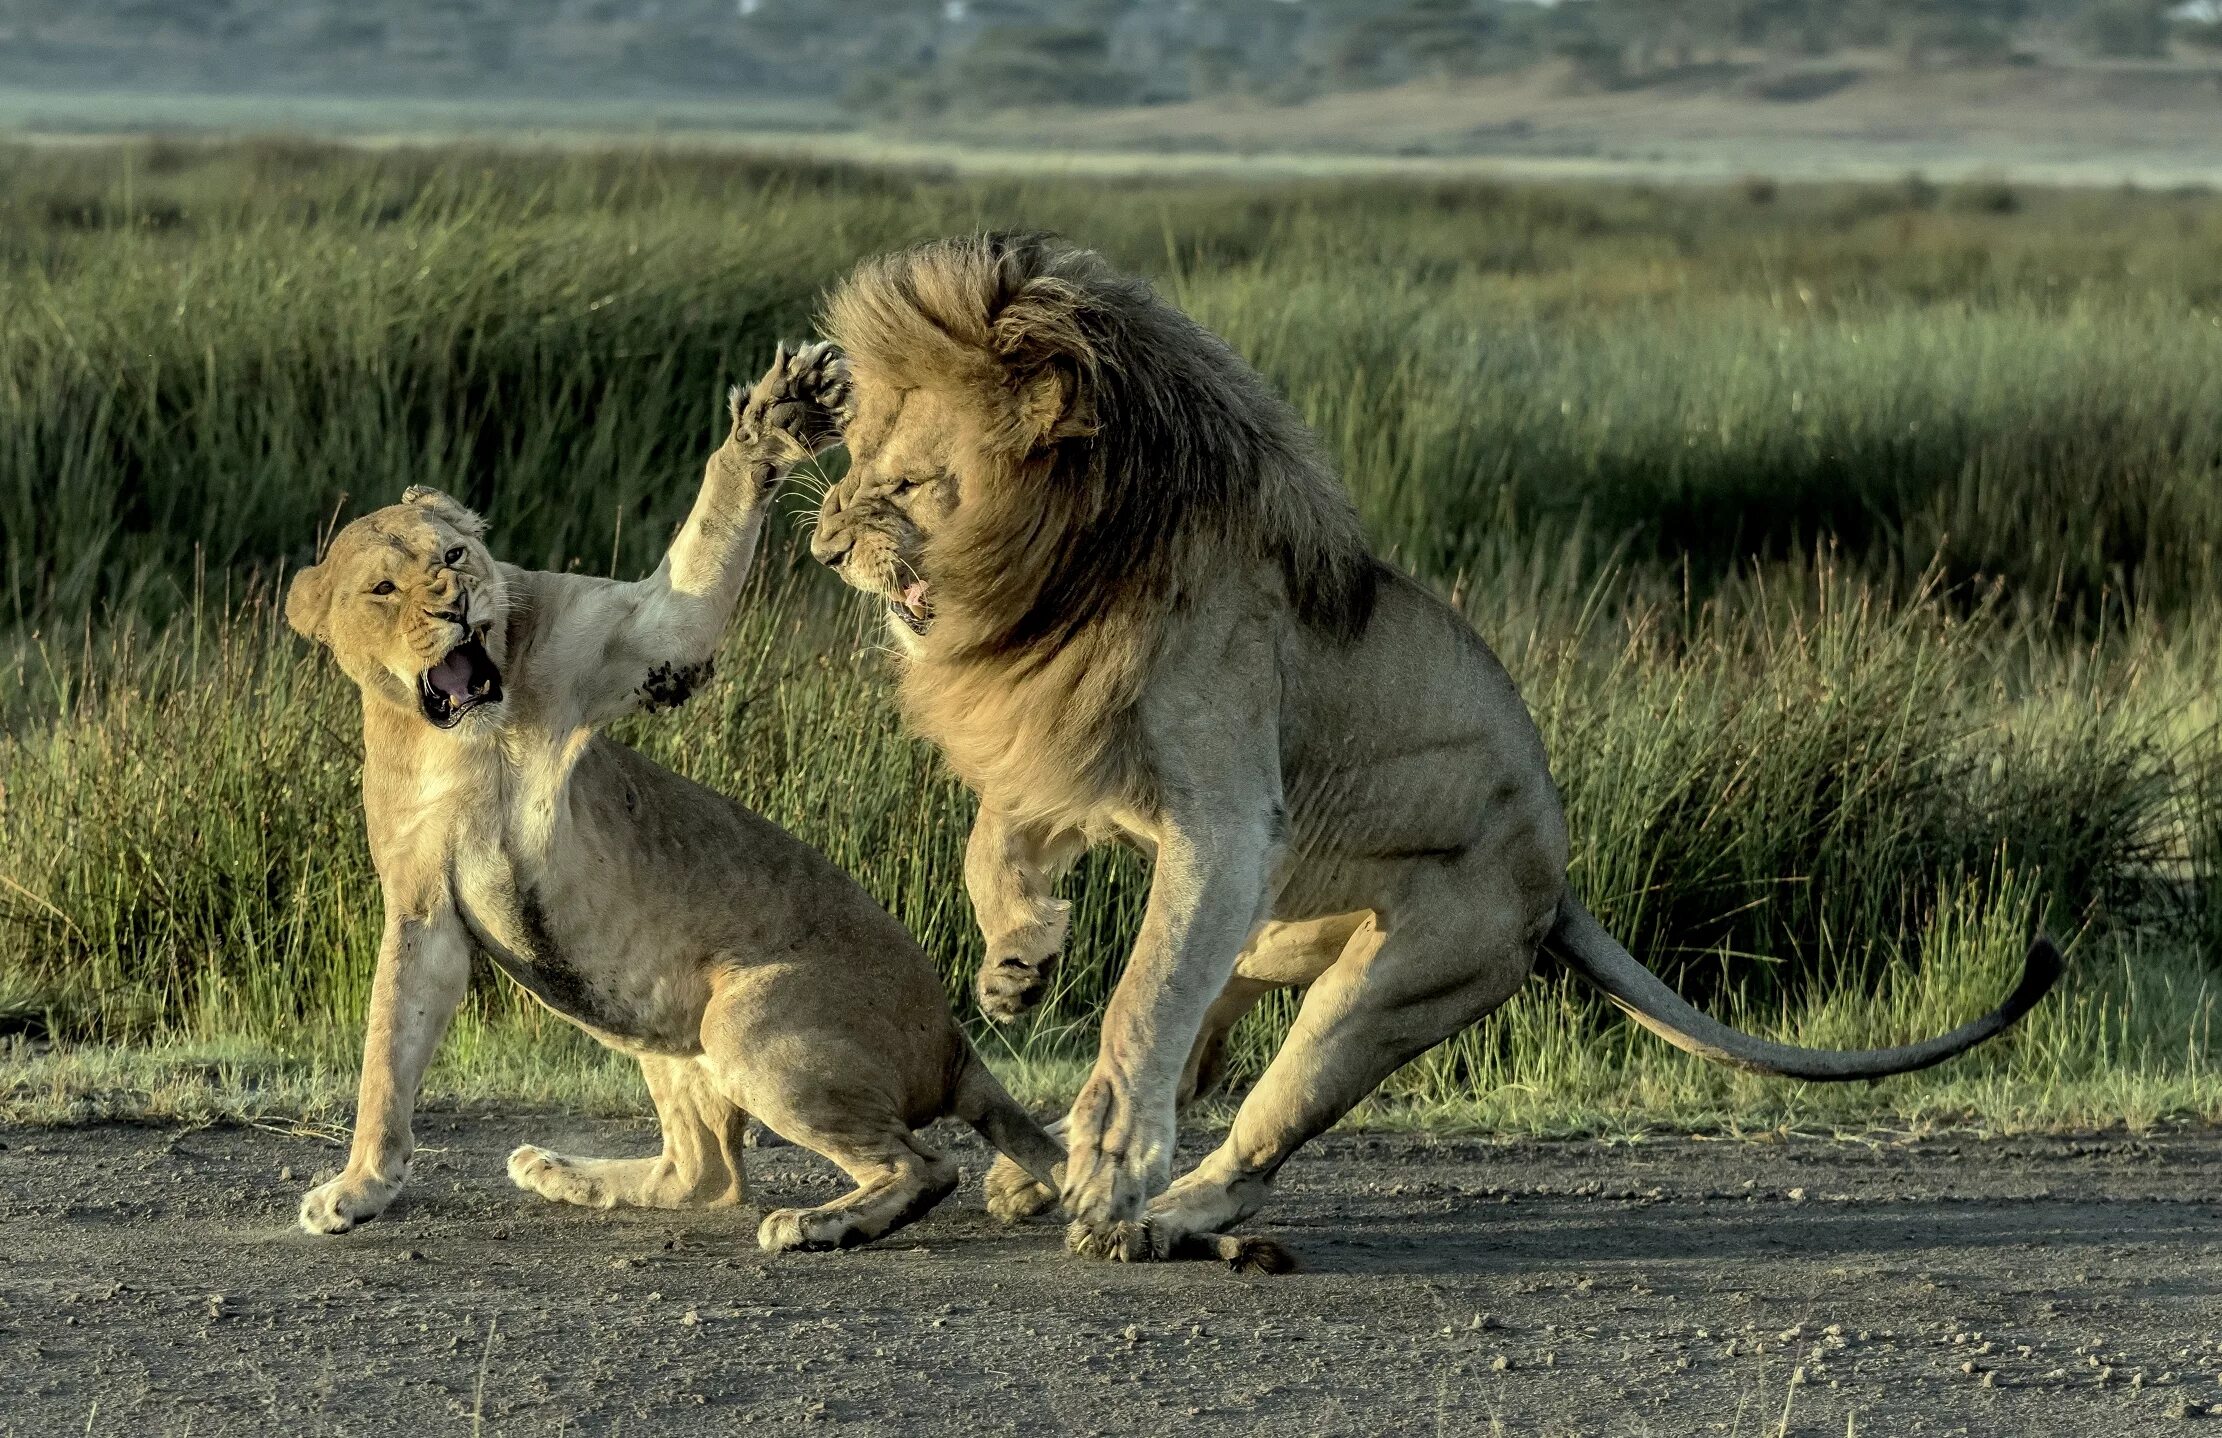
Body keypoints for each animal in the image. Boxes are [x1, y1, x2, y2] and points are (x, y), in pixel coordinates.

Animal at [279, 342, 1066, 1253]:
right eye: (383, 589)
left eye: (451, 558)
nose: (457, 604)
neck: (465, 739)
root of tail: (954, 1043)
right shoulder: (421, 902)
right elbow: (387, 1054)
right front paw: (360, 1188)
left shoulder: (643, 634)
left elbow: (701, 545)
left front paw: (777, 414)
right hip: (659, 1020)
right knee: (708, 1174)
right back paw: (558, 1172)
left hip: (743, 1018)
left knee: (922, 1165)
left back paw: (818, 1225)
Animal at [813, 233, 2062, 1262]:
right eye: (853, 455)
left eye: (903, 480)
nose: (822, 543)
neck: (1071, 569)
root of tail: (1557, 883)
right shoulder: (1079, 754)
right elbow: (995, 839)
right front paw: (1016, 960)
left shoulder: (1220, 814)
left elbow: (1143, 993)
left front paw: (1111, 1150)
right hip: (1278, 924)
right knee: (1211, 1023)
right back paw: (1045, 1165)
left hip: (1388, 983)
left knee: (1256, 1117)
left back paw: (1152, 1208)